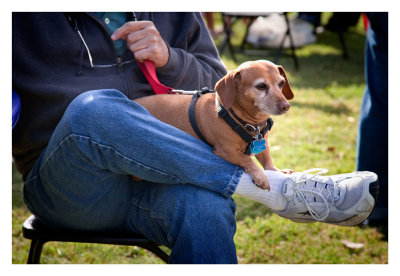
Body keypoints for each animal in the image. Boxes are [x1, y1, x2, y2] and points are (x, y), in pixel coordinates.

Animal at [134, 59, 294, 191]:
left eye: (281, 84)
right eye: (261, 86)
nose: (286, 106)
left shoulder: (263, 145)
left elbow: (267, 161)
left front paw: (276, 171)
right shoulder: (225, 151)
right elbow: (247, 159)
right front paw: (260, 175)